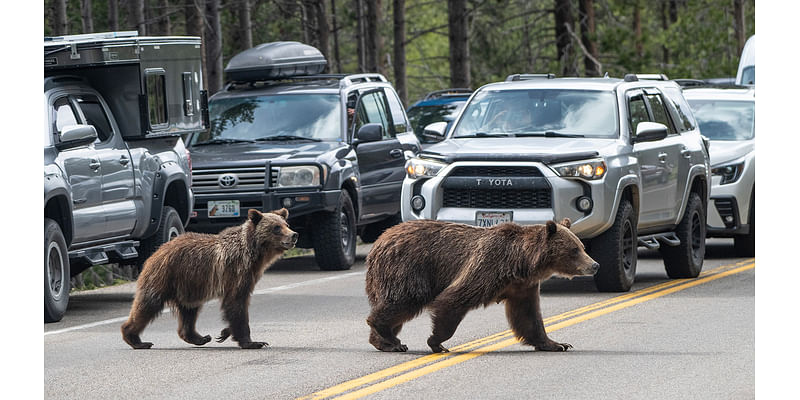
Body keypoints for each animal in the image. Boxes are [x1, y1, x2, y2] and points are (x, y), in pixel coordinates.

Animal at [117, 208, 296, 348]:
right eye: (276, 227)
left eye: (286, 224)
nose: (294, 235)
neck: (253, 255)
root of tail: (157, 251)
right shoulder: (236, 272)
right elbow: (236, 303)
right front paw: (252, 342)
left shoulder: (248, 275)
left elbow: (236, 306)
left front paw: (225, 332)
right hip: (165, 276)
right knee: (148, 304)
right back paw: (136, 339)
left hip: (188, 286)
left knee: (189, 311)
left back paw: (200, 337)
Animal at [366, 219, 596, 354]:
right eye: (574, 250)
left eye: (582, 246)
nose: (595, 265)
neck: (522, 262)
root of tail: (378, 242)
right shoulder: (488, 266)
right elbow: (453, 299)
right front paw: (436, 342)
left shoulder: (523, 287)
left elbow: (529, 317)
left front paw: (557, 344)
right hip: (409, 269)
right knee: (405, 300)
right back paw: (390, 336)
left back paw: (385, 343)